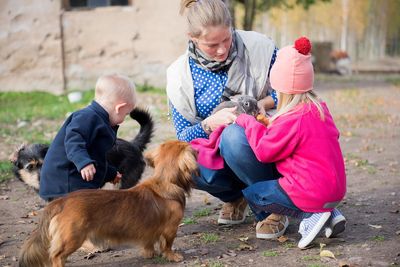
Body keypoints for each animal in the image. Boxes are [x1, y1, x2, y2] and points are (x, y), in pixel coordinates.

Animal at [18, 141, 198, 266]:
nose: (196, 147)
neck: (164, 181)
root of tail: (61, 201)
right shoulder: (171, 229)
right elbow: (167, 245)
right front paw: (173, 256)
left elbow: (149, 242)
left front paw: (149, 254)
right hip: (72, 237)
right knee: (56, 256)